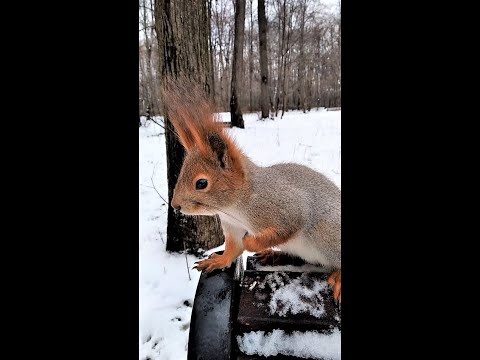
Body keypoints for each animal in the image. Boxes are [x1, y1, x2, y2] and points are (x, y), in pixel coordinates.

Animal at [162, 82, 342, 304]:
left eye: (201, 183)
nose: (175, 206)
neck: (236, 206)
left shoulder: (287, 209)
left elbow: (286, 228)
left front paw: (251, 241)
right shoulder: (232, 225)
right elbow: (234, 249)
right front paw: (220, 260)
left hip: (328, 234)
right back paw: (275, 255)